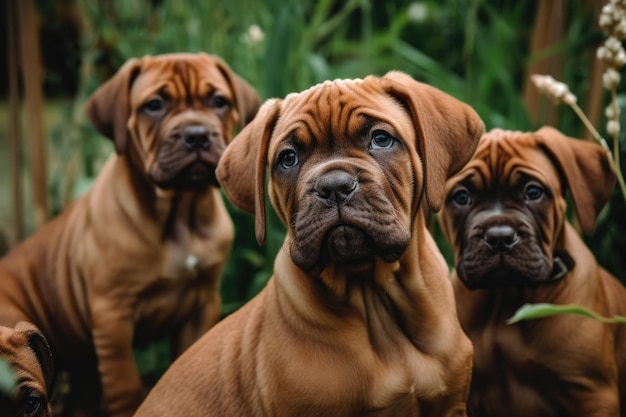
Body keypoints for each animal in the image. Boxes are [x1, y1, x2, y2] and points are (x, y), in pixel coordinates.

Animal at [0, 52, 258, 416]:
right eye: (154, 105)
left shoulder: (203, 304)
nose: (196, 135)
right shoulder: (112, 314)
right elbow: (126, 385)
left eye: (219, 101)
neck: (179, 214)